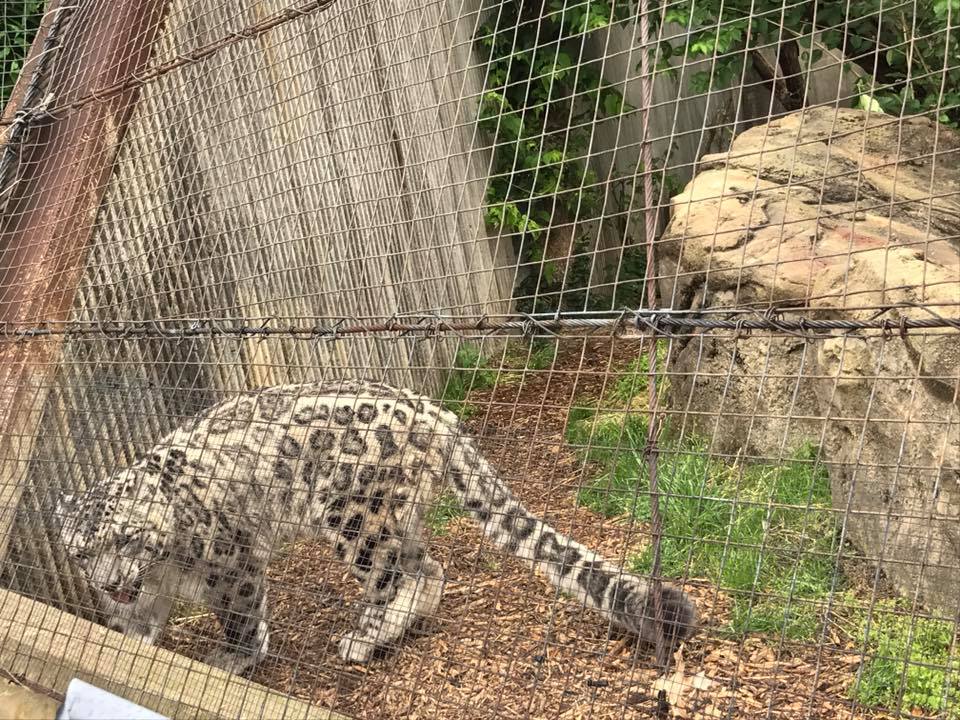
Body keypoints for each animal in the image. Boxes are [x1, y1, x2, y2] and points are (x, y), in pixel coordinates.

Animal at [54, 379, 697, 676]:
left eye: (125, 537)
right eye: (82, 553)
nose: (107, 581)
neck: (164, 567)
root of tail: (435, 411)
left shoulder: (229, 560)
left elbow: (239, 613)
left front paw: (233, 659)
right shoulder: (153, 587)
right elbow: (140, 620)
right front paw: (125, 642)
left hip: (353, 514)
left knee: (396, 575)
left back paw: (364, 637)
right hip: (394, 518)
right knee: (429, 568)